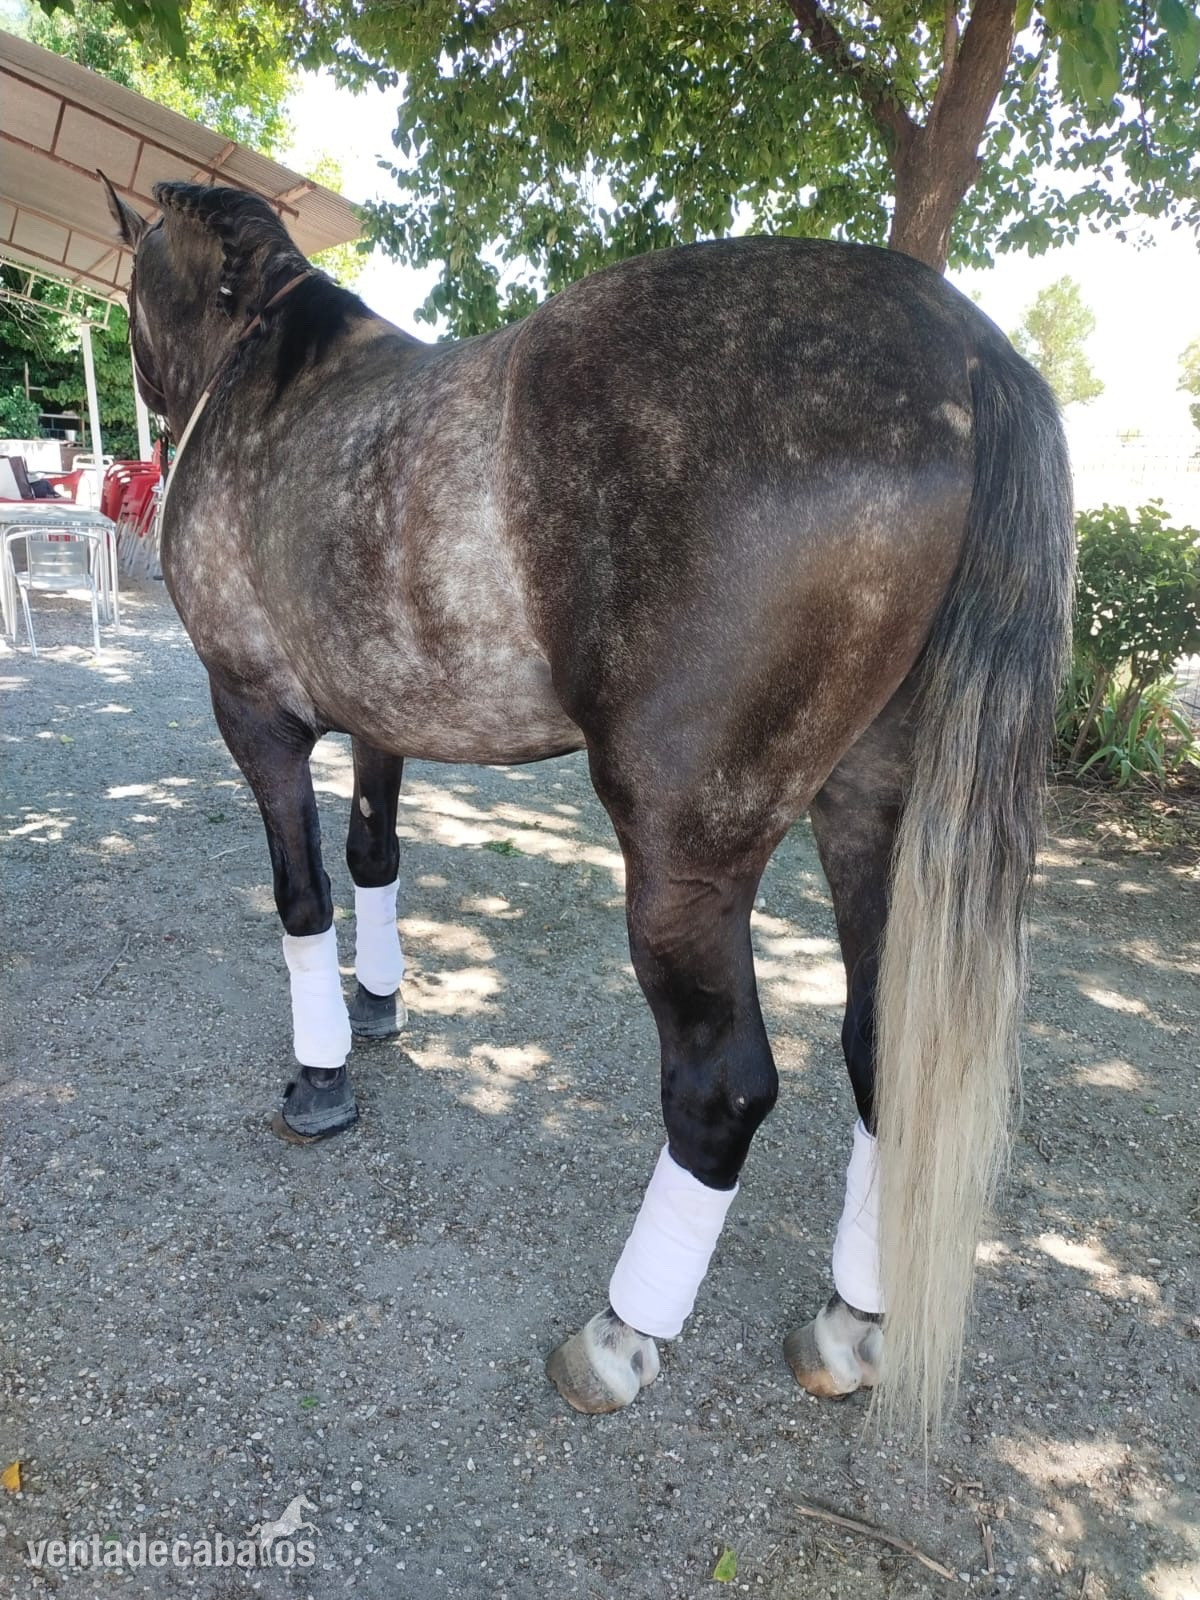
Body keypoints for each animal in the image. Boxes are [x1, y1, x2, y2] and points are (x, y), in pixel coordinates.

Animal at [103, 175, 1073, 1439]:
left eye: (129, 302)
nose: (144, 428)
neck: (276, 376)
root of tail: (963, 344)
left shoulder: (255, 712)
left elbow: (302, 896)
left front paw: (321, 1076)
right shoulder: (379, 716)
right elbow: (374, 856)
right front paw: (379, 1004)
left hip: (685, 851)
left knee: (722, 1088)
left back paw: (622, 1333)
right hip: (872, 814)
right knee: (882, 1049)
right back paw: (849, 1323)